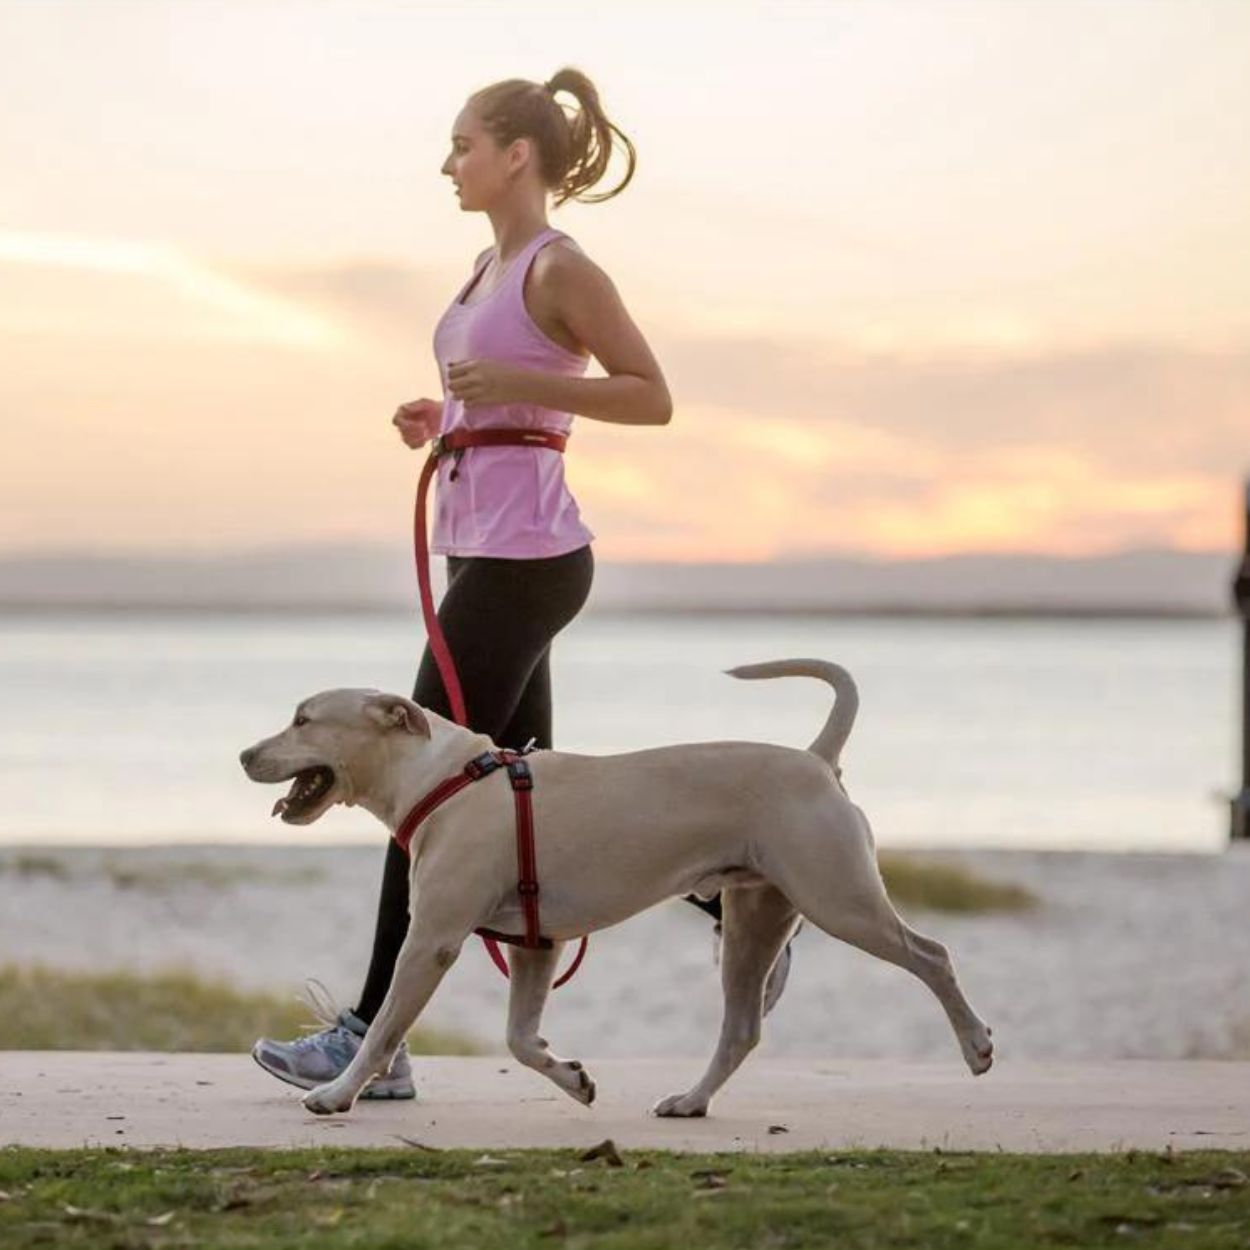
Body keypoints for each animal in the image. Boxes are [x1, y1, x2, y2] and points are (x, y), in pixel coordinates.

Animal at [238, 660, 990, 1120]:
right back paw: (689, 1101)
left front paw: (334, 1095)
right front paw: (573, 1077)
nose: (244, 754)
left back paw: (977, 1046)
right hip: (755, 917)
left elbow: (386, 1028)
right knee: (742, 1027)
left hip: (837, 896)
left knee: (932, 956)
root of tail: (815, 760)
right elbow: (519, 1039)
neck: (444, 778)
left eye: (304, 719)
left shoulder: (431, 942)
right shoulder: (537, 944)